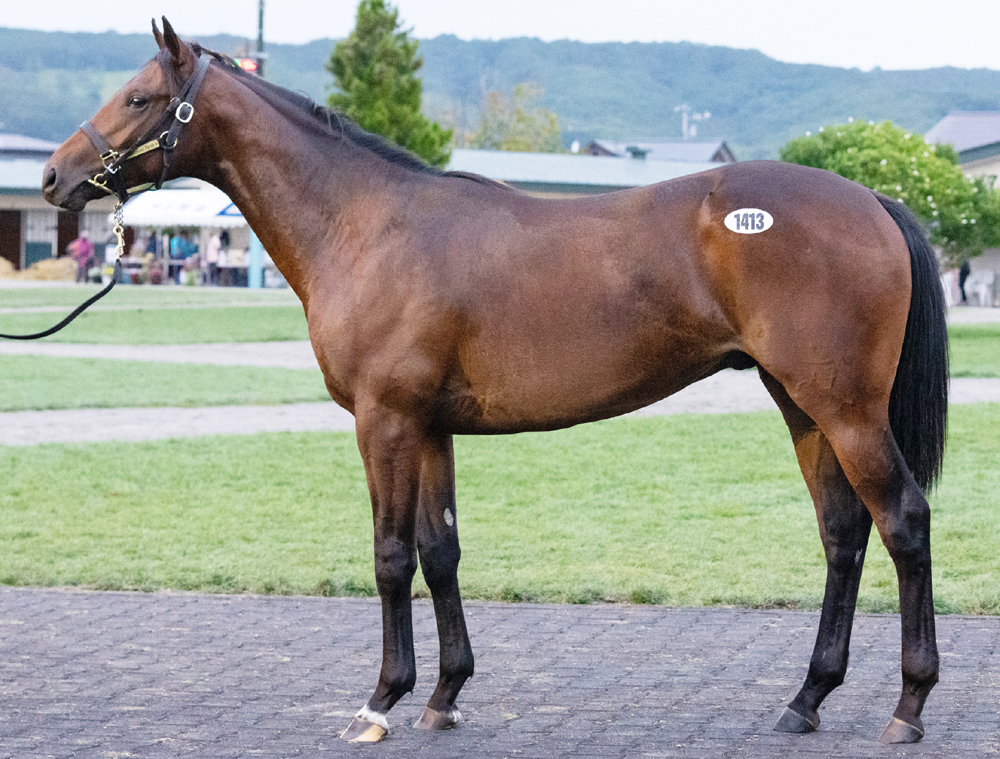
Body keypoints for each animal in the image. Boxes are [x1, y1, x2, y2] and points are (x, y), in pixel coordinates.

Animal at [41, 19, 944, 748]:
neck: (367, 223)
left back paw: (907, 707)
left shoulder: (384, 422)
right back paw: (806, 698)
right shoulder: (431, 427)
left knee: (901, 520)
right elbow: (441, 550)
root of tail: (872, 197)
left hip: (845, 410)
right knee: (842, 533)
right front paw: (444, 694)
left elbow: (390, 555)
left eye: (139, 96)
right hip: (802, 406)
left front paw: (381, 700)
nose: (54, 177)